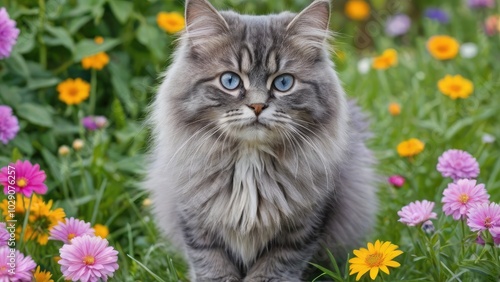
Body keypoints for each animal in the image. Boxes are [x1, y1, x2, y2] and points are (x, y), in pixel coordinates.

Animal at [143, 0, 376, 280]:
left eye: (283, 82)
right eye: (230, 80)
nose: (257, 106)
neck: (249, 163)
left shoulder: (299, 230)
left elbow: (274, 268)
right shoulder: (197, 224)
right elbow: (212, 266)